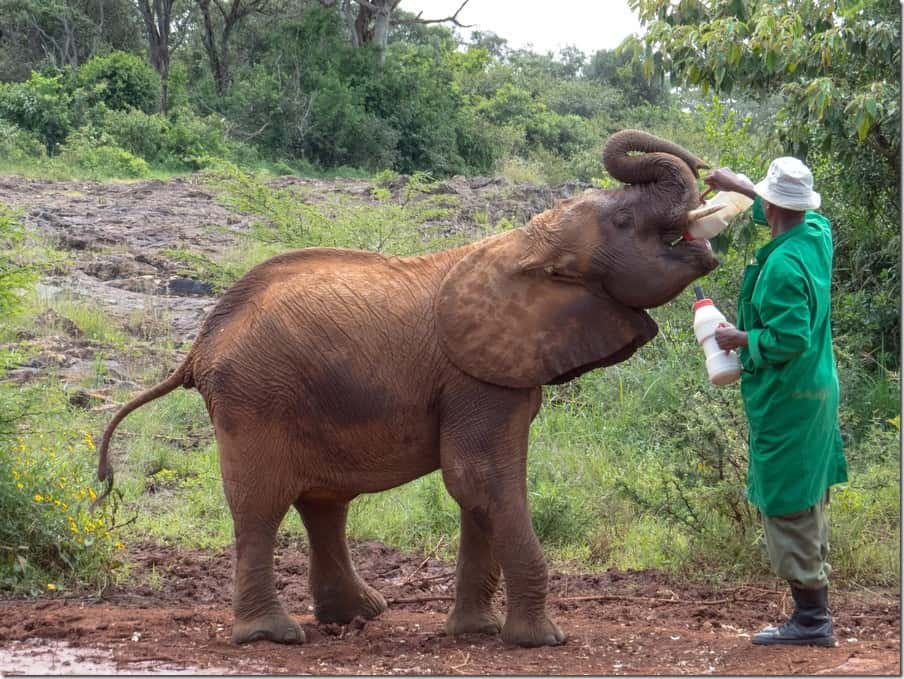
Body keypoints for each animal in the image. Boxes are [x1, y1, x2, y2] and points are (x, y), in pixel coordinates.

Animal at [95, 129, 720, 648]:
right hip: (252, 396)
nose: (710, 174)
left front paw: (476, 632)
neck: (523, 244)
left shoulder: (500, 369)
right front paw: (541, 641)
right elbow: (480, 478)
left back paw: (357, 616)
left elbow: (481, 488)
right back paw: (272, 636)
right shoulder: (474, 375)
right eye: (623, 223)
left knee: (323, 502)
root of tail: (199, 346)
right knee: (261, 504)